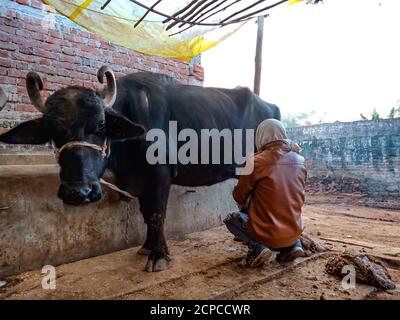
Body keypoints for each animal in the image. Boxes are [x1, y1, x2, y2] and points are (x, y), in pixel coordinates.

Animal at [0, 66, 280, 272]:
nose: (78, 192)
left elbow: (156, 214)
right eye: (52, 130)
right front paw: (148, 246)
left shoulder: (160, 177)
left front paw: (158, 256)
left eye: (101, 124)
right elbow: (146, 214)